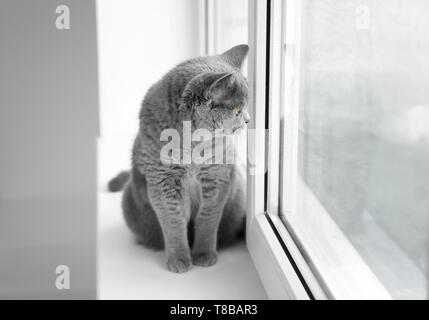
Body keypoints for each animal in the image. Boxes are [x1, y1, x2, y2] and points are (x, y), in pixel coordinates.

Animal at [108, 45, 251, 274]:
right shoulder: (162, 180)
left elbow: (208, 219)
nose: (248, 120)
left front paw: (204, 255)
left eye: (246, 108)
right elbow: (173, 223)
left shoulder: (217, 175)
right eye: (237, 111)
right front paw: (179, 260)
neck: (191, 147)